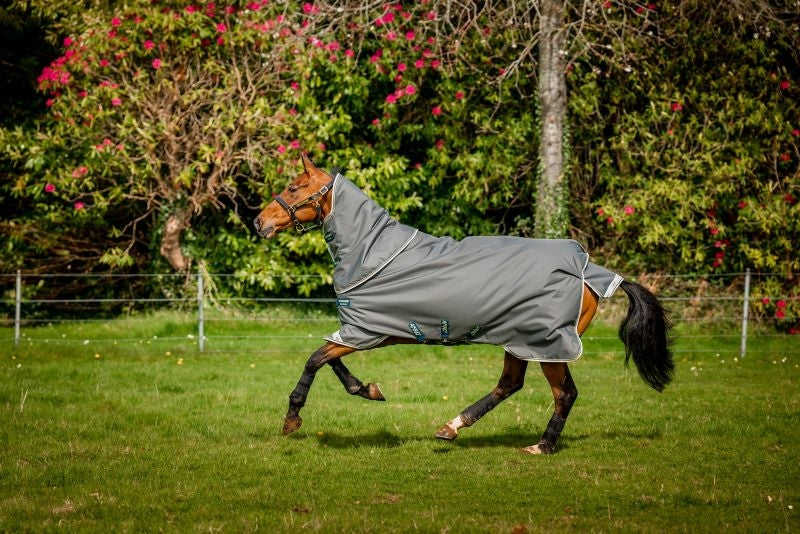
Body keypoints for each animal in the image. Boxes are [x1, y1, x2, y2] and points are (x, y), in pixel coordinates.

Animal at [253, 154, 674, 454]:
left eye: (294, 187)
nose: (259, 222)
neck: (372, 252)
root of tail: (590, 270)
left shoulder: (366, 331)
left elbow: (315, 360)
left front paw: (292, 420)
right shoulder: (361, 331)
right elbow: (332, 361)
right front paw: (369, 389)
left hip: (545, 344)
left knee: (563, 394)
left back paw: (542, 446)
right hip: (519, 342)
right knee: (509, 385)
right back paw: (452, 428)